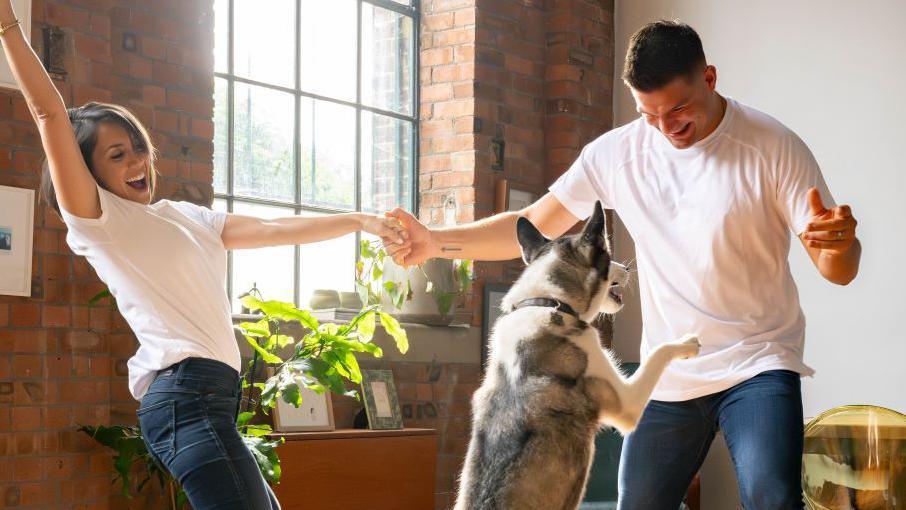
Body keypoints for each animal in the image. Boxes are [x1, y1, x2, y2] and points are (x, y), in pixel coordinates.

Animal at [452, 201, 700, 508]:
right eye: (606, 252)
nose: (627, 267)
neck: (550, 302)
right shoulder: (627, 403)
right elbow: (658, 353)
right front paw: (687, 344)